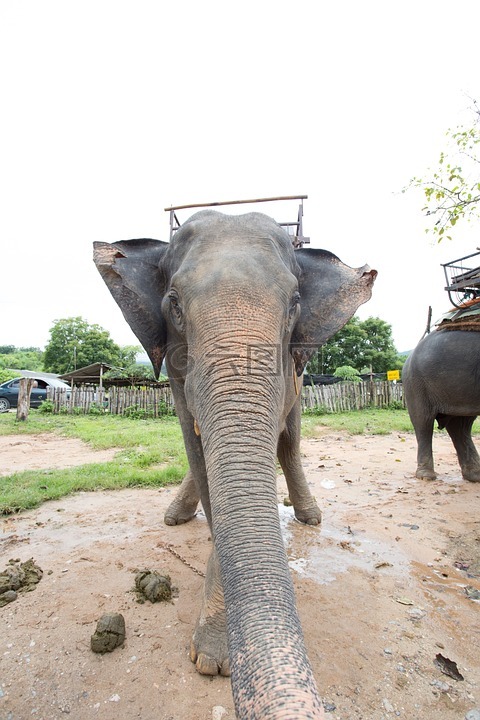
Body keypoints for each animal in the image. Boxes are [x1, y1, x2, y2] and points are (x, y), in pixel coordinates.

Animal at [94, 210, 376, 720]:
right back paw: (175, 516)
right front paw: (214, 657)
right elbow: (197, 449)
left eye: (295, 304)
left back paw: (310, 516)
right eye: (174, 303)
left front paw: (213, 658)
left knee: (290, 441)